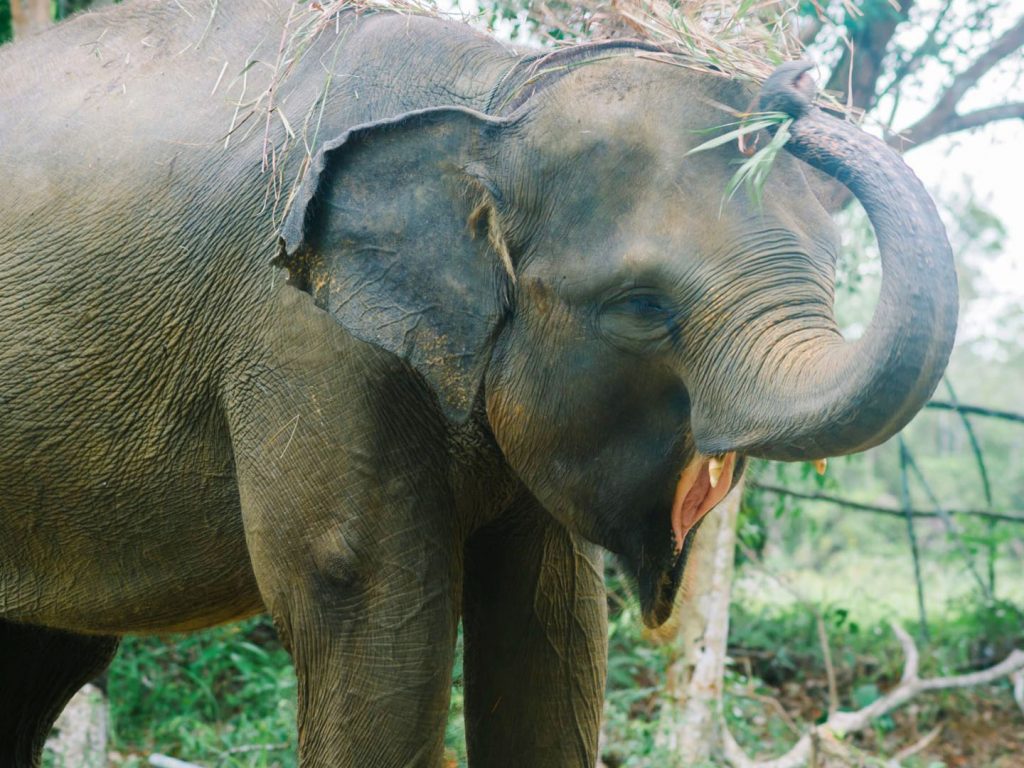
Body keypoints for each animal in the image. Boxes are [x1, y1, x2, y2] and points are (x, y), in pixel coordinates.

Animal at [2, 0, 958, 765]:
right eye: (641, 307)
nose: (789, 81)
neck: (497, 98)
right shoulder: (301, 332)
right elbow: (364, 597)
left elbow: (554, 622)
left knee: (43, 662)